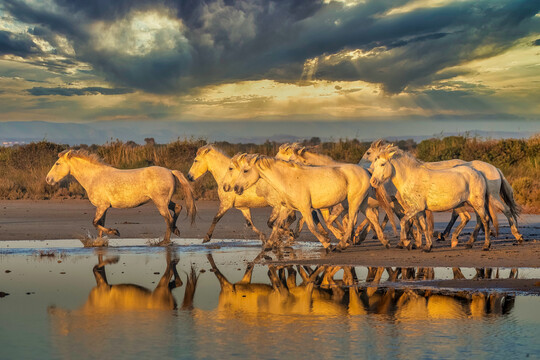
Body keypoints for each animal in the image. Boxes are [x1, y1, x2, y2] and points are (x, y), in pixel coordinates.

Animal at [45, 149, 195, 245]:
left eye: (57, 163)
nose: (48, 179)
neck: (94, 177)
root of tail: (170, 171)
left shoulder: (102, 206)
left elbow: (95, 223)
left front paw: (115, 232)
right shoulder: (104, 208)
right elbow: (99, 225)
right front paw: (100, 243)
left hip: (160, 202)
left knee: (168, 219)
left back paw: (165, 242)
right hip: (163, 201)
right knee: (178, 208)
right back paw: (175, 231)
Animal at [228, 155, 388, 250]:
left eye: (245, 170)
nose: (236, 188)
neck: (288, 179)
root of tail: (366, 171)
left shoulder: (305, 208)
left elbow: (311, 227)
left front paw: (327, 244)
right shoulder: (286, 207)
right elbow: (276, 225)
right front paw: (268, 245)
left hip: (354, 201)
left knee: (352, 221)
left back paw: (341, 244)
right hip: (363, 202)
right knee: (372, 218)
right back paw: (384, 241)